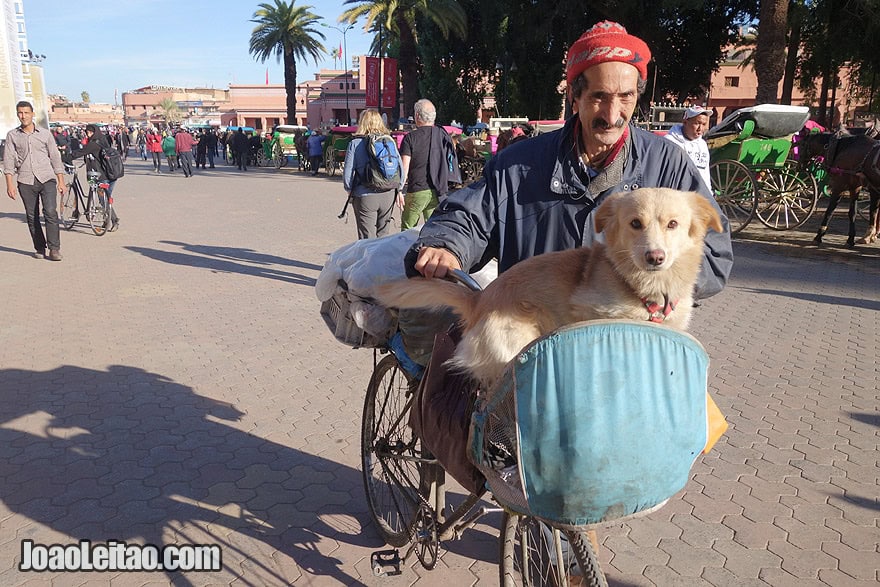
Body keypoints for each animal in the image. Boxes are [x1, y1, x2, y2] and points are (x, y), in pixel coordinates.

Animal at [374, 188, 724, 388]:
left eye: (673, 224)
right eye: (635, 224)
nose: (655, 257)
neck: (644, 289)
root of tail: (480, 298)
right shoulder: (591, 314)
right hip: (519, 338)